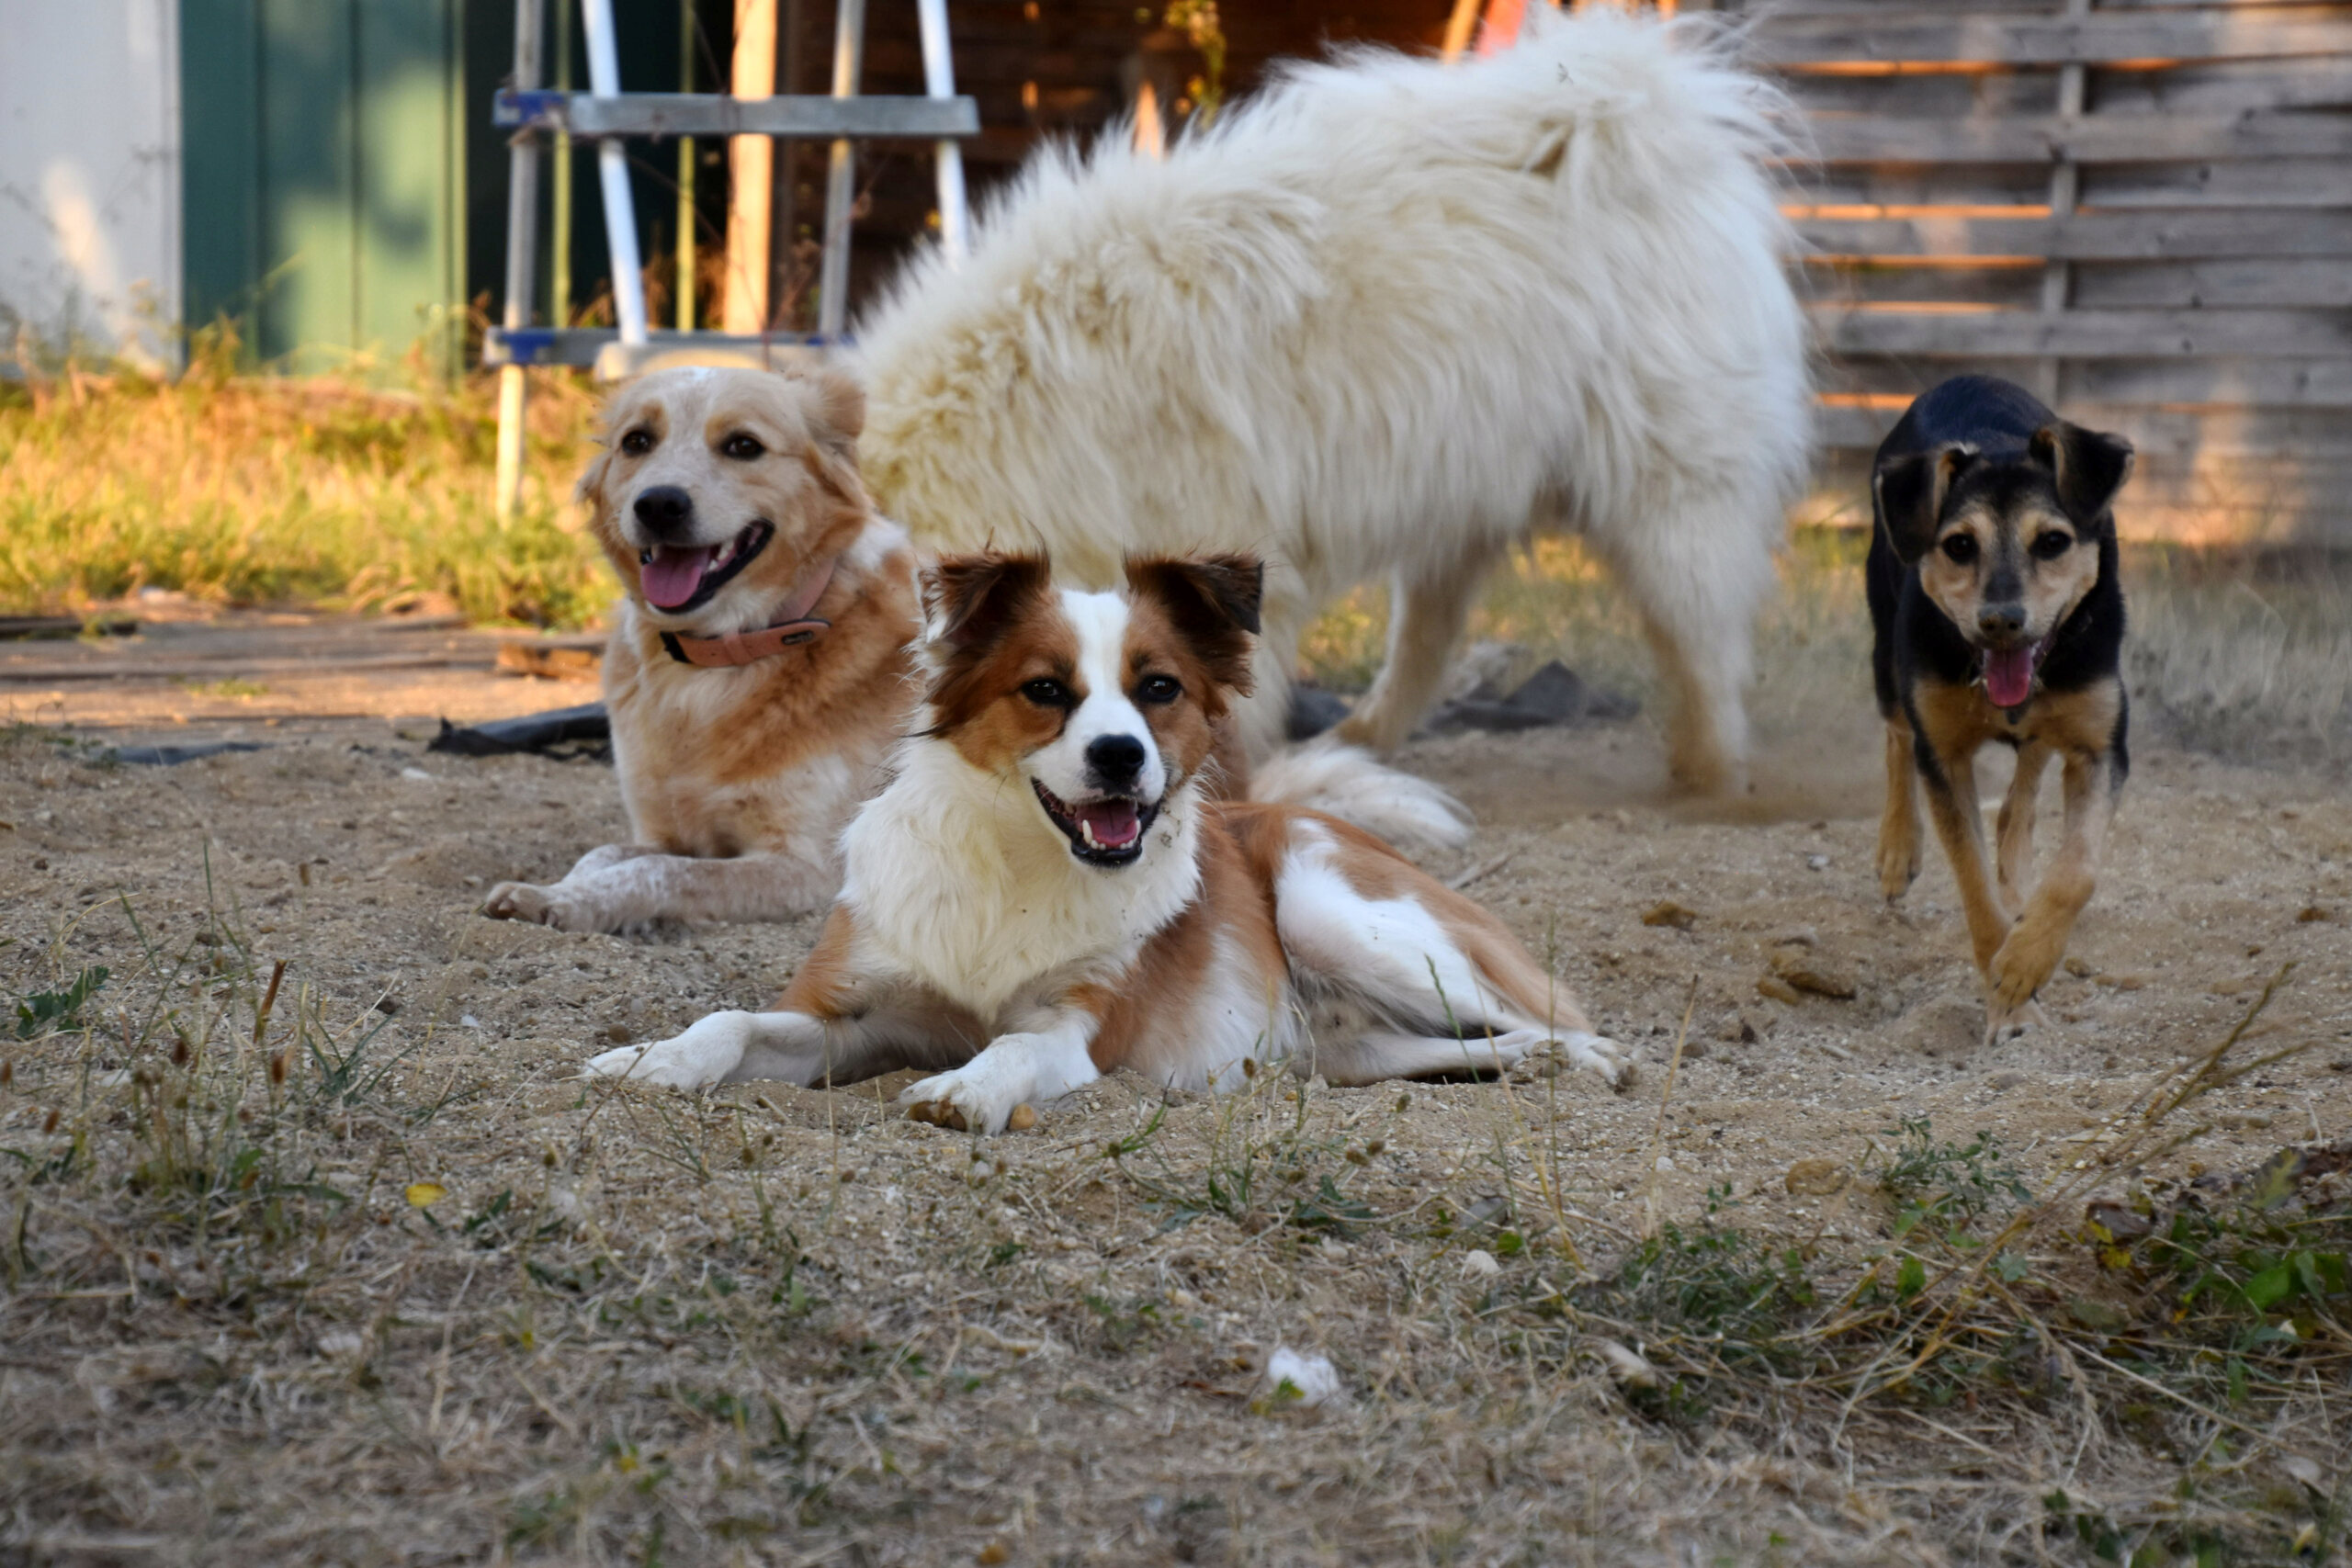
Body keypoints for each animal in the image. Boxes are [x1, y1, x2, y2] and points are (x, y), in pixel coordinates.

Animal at [477, 368, 917, 931]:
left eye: (744, 446)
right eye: (636, 441)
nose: (658, 504)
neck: (714, 661)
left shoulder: (807, 865)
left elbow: (657, 872)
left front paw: (565, 902)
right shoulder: (666, 830)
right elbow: (604, 855)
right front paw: (552, 889)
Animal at [578, 552, 1627, 1128]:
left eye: (1158, 688)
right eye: (1045, 690)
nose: (1121, 755)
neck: (1018, 866)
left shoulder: (1076, 1028)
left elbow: (1014, 1048)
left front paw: (969, 1091)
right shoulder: (853, 1019)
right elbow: (731, 1021)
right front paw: (653, 1060)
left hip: (1339, 914)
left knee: (1556, 1019)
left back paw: (1581, 1060)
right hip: (1347, 1038)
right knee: (1435, 1048)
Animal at [855, 8, 1806, 799]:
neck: (1020, 396)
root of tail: (1643, 118)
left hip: (1669, 495)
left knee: (1703, 642)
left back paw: (1711, 772)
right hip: (1456, 496)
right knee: (1428, 642)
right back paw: (1362, 736)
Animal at [1871, 376, 2135, 1043]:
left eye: (2054, 541)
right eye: (1959, 545)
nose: (2000, 621)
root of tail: (1963, 378)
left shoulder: (2101, 745)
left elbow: (2078, 870)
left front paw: (2026, 960)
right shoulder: (1942, 753)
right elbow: (1972, 887)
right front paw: (2009, 999)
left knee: (2028, 774)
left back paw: (2018, 881)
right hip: (1885, 646)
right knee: (1895, 733)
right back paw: (1897, 849)